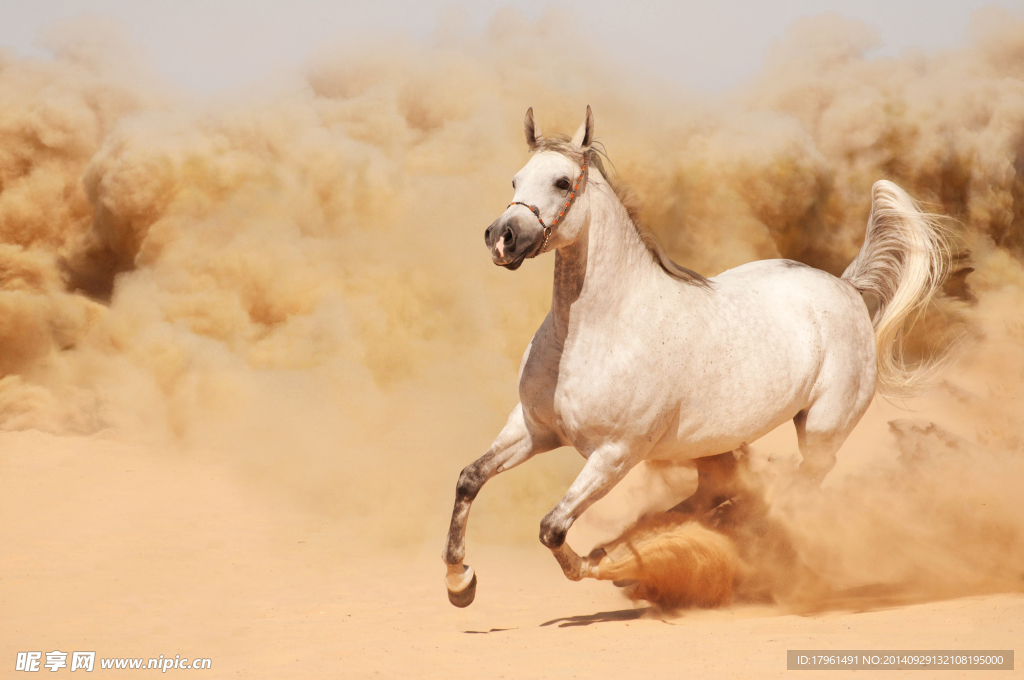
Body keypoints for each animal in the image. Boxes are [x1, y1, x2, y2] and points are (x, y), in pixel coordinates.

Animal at [442, 106, 951, 607]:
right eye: (515, 180)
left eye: (562, 182)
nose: (502, 238)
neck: (596, 333)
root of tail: (845, 288)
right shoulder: (533, 429)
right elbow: (469, 478)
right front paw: (459, 581)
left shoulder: (614, 455)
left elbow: (552, 528)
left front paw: (601, 564)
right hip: (718, 446)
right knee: (719, 495)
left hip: (821, 432)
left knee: (793, 492)